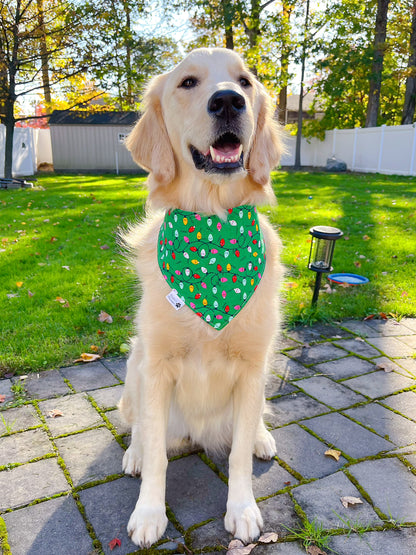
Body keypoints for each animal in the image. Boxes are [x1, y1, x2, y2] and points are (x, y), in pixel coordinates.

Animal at [118, 46, 284, 548]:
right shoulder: (156, 366)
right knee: (139, 427)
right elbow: (156, 451)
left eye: (245, 82)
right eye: (187, 83)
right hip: (134, 363)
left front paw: (242, 508)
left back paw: (262, 437)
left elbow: (239, 456)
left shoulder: (252, 365)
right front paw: (149, 513)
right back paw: (133, 453)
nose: (228, 101)